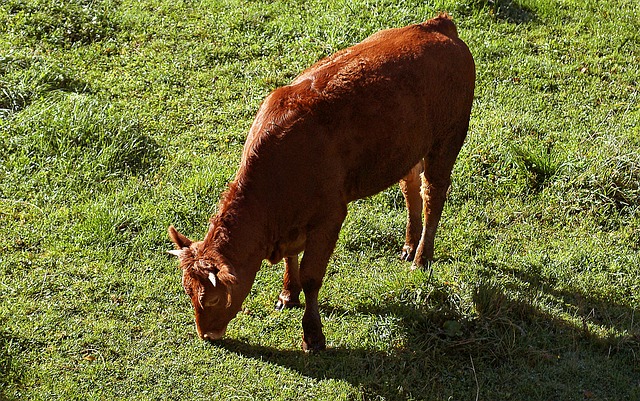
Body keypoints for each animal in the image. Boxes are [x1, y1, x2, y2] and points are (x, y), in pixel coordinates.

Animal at [168, 14, 472, 348]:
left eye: (211, 299)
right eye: (187, 292)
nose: (206, 335)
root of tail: (436, 25)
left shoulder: (330, 216)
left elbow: (311, 277)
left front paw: (312, 334)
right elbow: (291, 261)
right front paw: (288, 294)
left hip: (448, 139)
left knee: (433, 194)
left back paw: (421, 256)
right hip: (409, 148)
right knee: (410, 187)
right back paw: (409, 244)